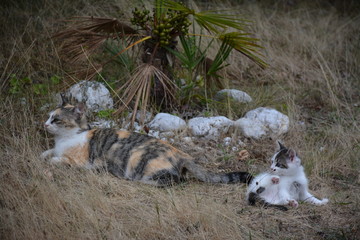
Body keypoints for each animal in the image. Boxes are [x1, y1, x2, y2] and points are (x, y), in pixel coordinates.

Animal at [40, 98, 253, 187]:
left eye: (56, 119)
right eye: (49, 116)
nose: (45, 124)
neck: (65, 139)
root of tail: (183, 155)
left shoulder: (82, 162)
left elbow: (60, 160)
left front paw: (52, 161)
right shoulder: (57, 148)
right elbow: (49, 152)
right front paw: (44, 154)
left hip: (139, 158)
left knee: (174, 180)